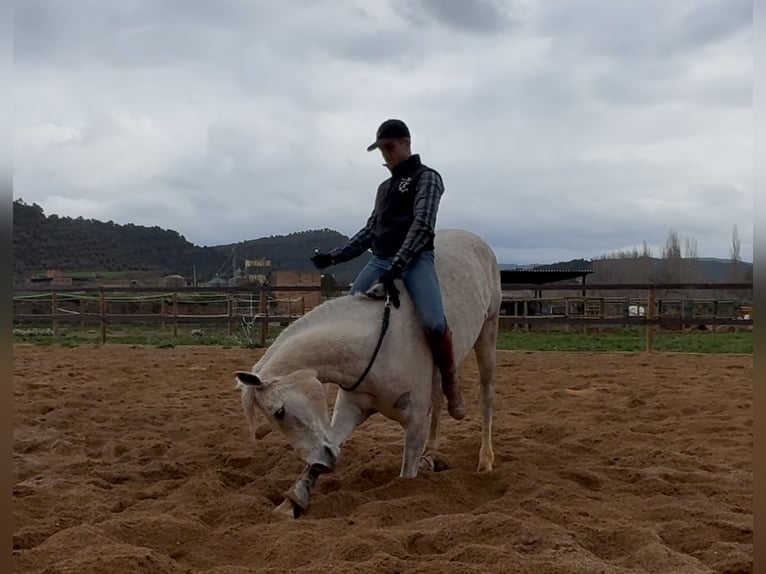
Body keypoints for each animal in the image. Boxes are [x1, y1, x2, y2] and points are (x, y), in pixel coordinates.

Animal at [234, 228, 504, 516]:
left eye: (280, 412)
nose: (323, 461)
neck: (375, 341)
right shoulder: (351, 408)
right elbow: (330, 446)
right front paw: (292, 503)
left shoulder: (415, 424)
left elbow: (406, 476)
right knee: (439, 399)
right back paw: (431, 455)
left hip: (489, 331)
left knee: (486, 397)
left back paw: (485, 460)